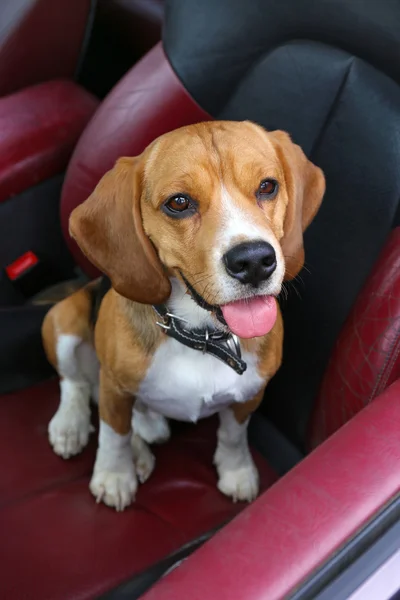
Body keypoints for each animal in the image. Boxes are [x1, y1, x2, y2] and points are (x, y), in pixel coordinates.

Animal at [41, 120, 324, 510]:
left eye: (268, 186)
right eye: (178, 203)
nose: (253, 261)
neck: (200, 334)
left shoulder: (250, 394)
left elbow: (233, 435)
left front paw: (236, 471)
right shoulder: (114, 387)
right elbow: (114, 435)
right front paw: (114, 475)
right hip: (62, 320)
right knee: (74, 382)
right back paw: (71, 426)